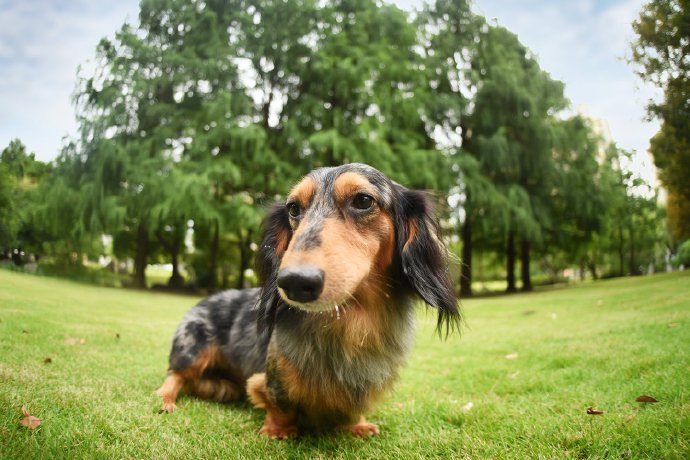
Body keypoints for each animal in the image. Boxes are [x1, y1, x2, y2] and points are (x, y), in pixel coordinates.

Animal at [156, 163, 456, 438]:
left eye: (363, 200)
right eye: (293, 208)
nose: (295, 282)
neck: (351, 322)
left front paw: (357, 424)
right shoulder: (267, 381)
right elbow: (278, 402)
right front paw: (278, 430)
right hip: (193, 350)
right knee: (175, 374)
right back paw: (166, 399)